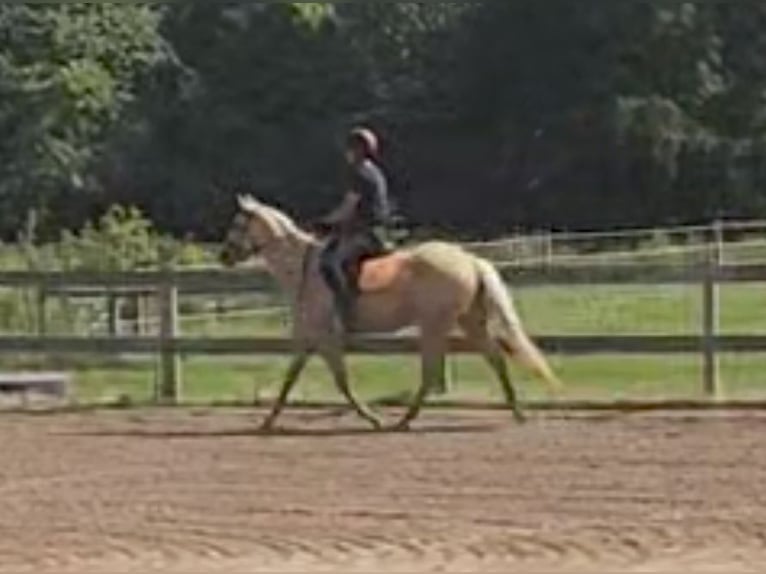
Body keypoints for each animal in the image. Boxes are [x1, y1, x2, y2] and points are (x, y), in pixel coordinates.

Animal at [219, 197, 560, 432]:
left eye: (237, 224)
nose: (224, 256)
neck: (301, 268)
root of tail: (469, 259)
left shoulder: (326, 338)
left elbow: (341, 382)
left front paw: (373, 419)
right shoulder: (308, 338)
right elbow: (290, 379)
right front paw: (267, 421)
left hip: (435, 325)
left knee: (432, 370)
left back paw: (405, 421)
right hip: (467, 321)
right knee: (494, 358)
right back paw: (516, 412)